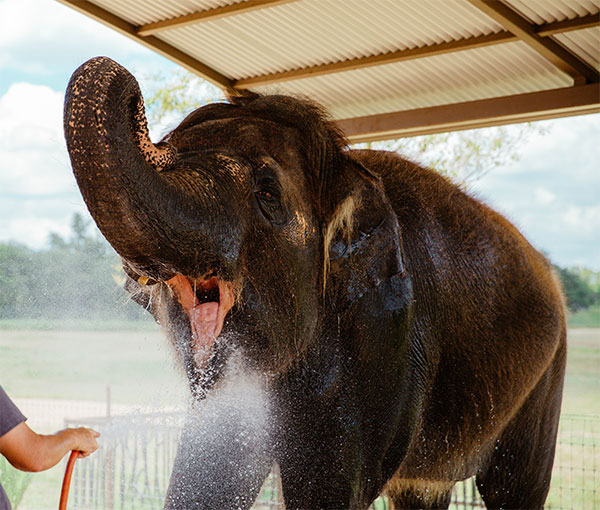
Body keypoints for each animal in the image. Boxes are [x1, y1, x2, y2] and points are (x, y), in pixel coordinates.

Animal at [64, 56, 568, 510]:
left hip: (548, 375)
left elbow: (331, 486)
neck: (348, 172)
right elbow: (216, 468)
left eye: (267, 193)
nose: (142, 110)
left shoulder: (392, 331)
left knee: (514, 488)